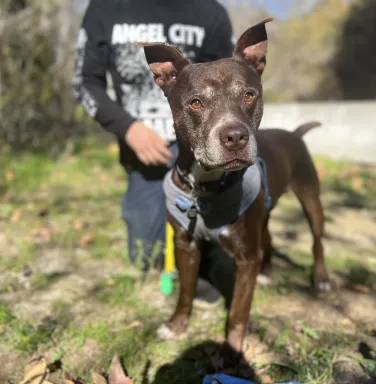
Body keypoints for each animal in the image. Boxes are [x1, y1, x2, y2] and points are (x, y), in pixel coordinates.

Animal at [140, 18, 330, 354]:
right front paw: (176, 324)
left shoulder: (245, 257)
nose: (235, 136)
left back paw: (320, 279)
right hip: (264, 212)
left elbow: (239, 311)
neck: (204, 188)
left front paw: (232, 349)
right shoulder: (185, 245)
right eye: (196, 102)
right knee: (268, 238)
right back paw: (267, 272)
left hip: (310, 198)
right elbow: (185, 291)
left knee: (317, 240)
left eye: (248, 95)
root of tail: (294, 133)